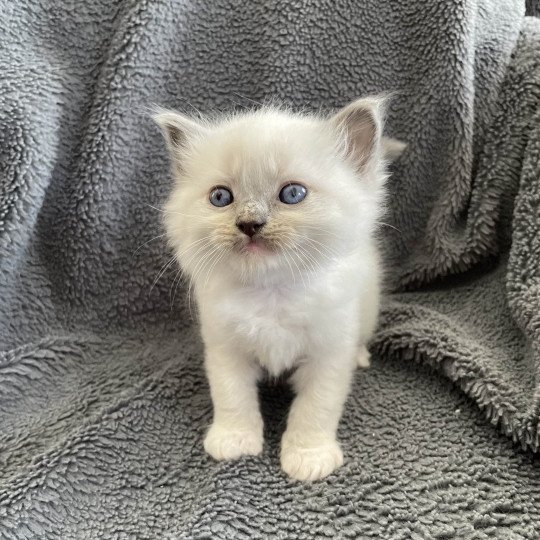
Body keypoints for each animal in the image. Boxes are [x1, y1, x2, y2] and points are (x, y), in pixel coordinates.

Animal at [154, 98, 402, 480]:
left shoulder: (328, 354)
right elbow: (232, 397)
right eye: (221, 197)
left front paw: (308, 457)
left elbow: (315, 408)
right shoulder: (225, 348)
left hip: (368, 307)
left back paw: (360, 357)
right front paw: (234, 441)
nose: (249, 224)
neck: (271, 292)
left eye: (292, 194)